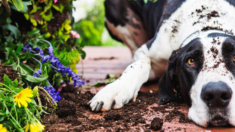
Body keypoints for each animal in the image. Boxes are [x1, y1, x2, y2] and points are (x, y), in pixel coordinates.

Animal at [88, 0, 235, 127]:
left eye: (234, 58)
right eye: (191, 61)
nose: (217, 94)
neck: (210, 22)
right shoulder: (147, 51)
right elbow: (139, 65)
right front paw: (115, 89)